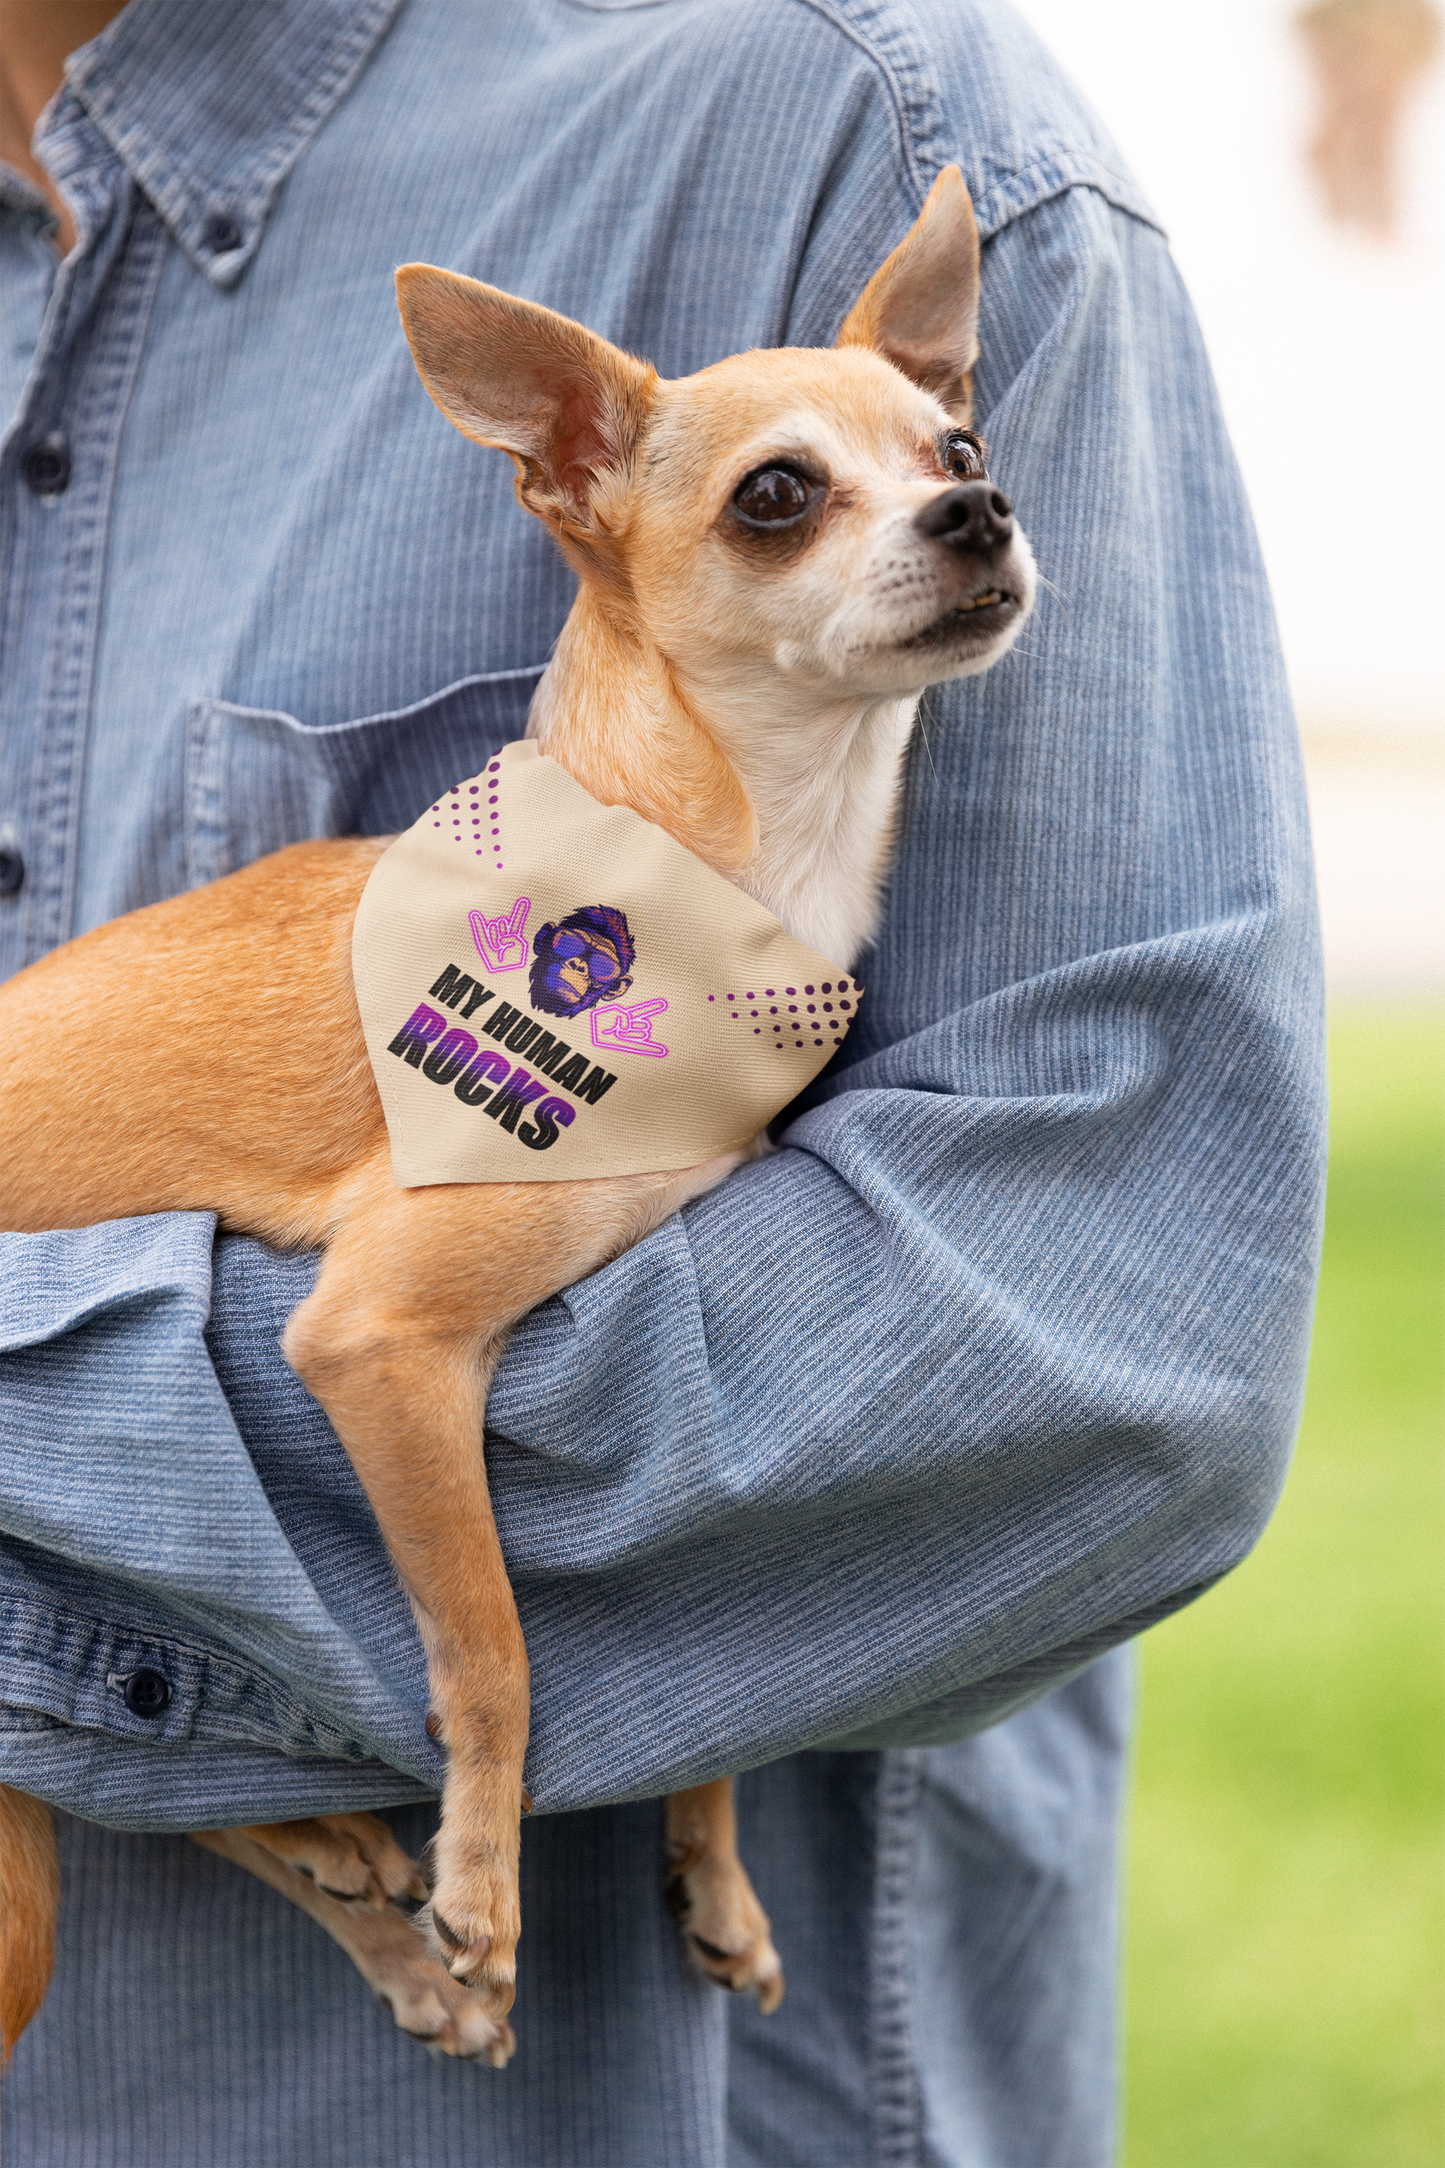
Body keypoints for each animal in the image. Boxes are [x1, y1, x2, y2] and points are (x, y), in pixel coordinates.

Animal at [0, 164, 1026, 2063]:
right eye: (779, 495)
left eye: (960, 439)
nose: (982, 509)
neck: (715, 873)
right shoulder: (380, 1342)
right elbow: (492, 1644)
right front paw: (483, 1879)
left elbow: (712, 1687)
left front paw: (707, 1864)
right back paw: (370, 1876)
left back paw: (348, 1875)